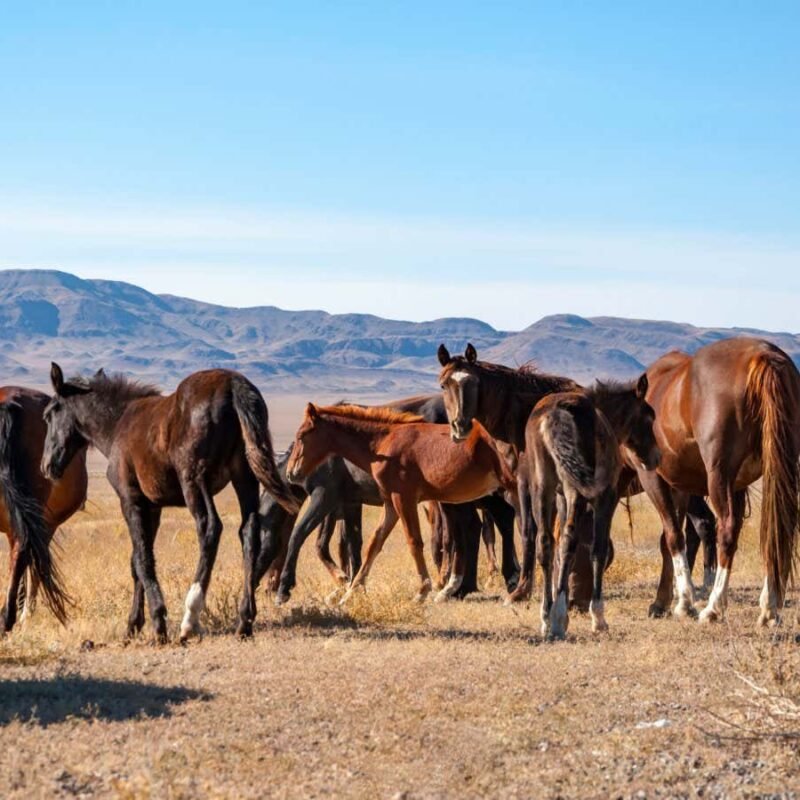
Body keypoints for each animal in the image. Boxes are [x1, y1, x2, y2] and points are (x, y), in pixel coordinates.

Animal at [41, 364, 299, 642]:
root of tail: (233, 384)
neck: (118, 423)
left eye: (49, 414)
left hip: (193, 479)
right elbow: (138, 560)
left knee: (210, 528)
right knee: (249, 531)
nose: (46, 466)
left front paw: (158, 621)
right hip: (245, 476)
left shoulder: (130, 500)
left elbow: (142, 559)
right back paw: (245, 620)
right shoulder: (152, 508)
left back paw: (190, 618)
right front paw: (133, 624)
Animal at [286, 404, 519, 603]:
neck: (383, 444)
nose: (291, 473)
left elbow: (414, 542)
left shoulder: (404, 499)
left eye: (301, 436)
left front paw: (422, 591)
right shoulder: (390, 503)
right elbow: (374, 544)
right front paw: (350, 593)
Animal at [526, 377, 660, 638]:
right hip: (576, 489)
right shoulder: (606, 497)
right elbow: (599, 550)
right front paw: (598, 618)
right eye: (649, 416)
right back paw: (557, 619)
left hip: (542, 487)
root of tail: (555, 415)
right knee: (568, 540)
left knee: (545, 542)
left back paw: (546, 617)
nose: (656, 458)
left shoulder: (560, 497)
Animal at [634, 338, 800, 625]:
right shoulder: (684, 487)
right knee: (781, 528)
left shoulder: (654, 479)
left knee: (727, 530)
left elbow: (673, 537)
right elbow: (675, 538)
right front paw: (672, 600)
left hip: (719, 476)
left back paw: (713, 607)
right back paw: (769, 608)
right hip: (778, 469)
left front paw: (681, 601)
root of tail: (763, 356)